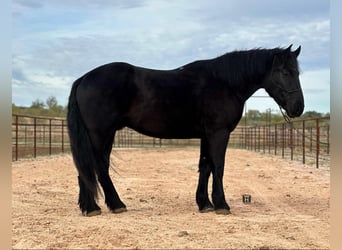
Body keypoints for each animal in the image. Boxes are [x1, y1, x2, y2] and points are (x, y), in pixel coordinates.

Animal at [67, 44, 304, 215]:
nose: (298, 107)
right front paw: (221, 205)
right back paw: (105, 206)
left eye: (297, 72)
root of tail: (84, 78)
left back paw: (98, 206)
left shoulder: (207, 134)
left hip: (104, 135)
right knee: (95, 167)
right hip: (100, 134)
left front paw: (205, 204)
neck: (224, 82)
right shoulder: (219, 132)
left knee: (91, 168)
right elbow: (218, 166)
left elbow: (205, 166)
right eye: (284, 72)